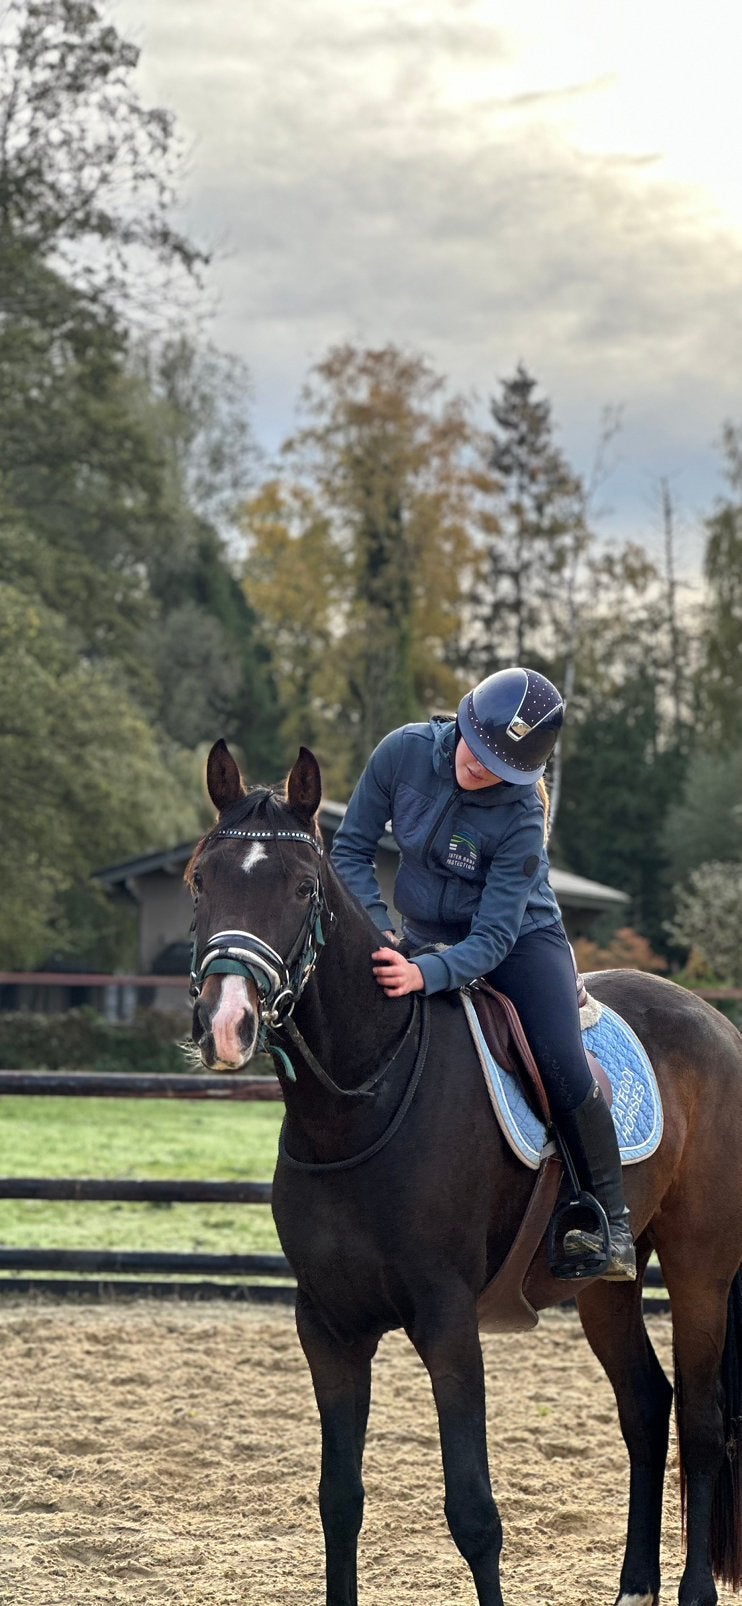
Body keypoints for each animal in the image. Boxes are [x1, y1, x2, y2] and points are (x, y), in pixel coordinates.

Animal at [187, 739, 742, 1606]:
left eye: (304, 888)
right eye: (202, 879)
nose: (226, 1023)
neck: (362, 1104)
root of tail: (716, 1023)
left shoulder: (447, 1323)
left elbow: (474, 1513)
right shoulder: (327, 1327)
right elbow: (338, 1500)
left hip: (700, 1269)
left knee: (704, 1420)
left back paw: (689, 1592)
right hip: (606, 1289)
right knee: (647, 1407)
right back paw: (633, 1587)